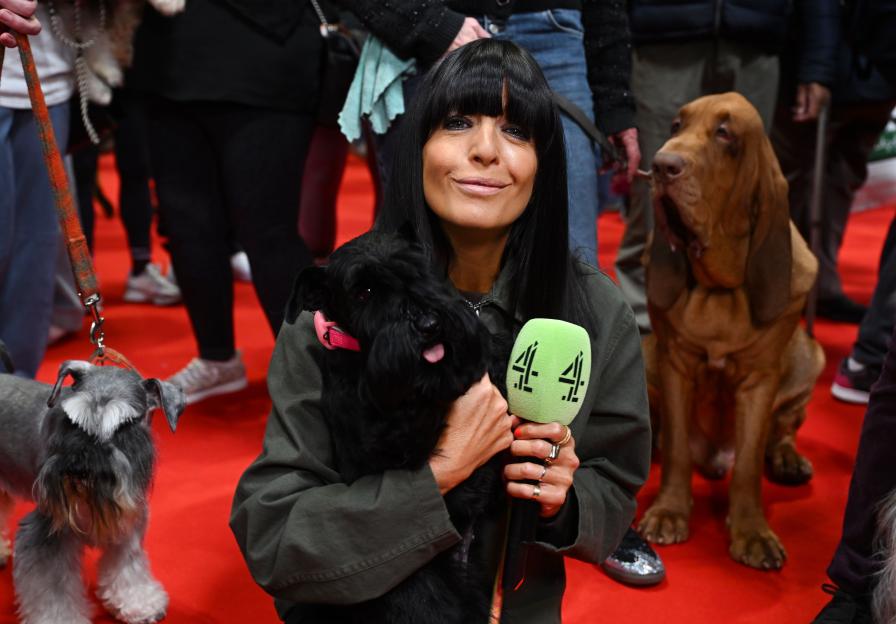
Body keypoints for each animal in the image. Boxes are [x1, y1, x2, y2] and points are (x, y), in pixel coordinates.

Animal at [0, 361, 185, 624]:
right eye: (72, 421)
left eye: (124, 426)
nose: (77, 468)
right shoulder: (46, 534)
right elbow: (52, 590)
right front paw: (59, 619)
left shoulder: (128, 523)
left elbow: (127, 566)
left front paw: (138, 603)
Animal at [638, 92, 825, 570]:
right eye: (676, 124)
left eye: (725, 134)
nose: (661, 166)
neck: (718, 288)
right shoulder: (674, 365)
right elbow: (678, 452)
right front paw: (668, 513)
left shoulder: (759, 381)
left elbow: (748, 466)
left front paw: (752, 533)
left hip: (810, 358)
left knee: (781, 430)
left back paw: (788, 459)